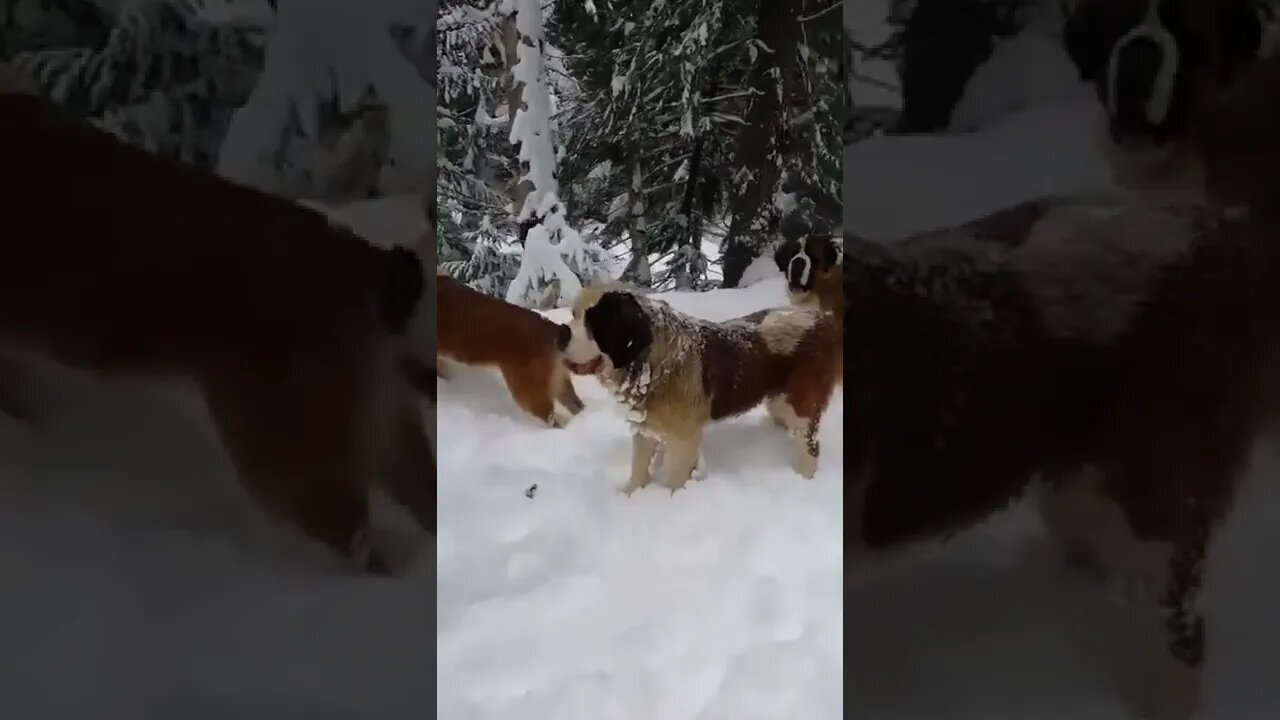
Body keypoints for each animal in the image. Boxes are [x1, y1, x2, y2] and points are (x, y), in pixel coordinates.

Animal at [558, 285, 839, 491]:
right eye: (574, 313)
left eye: (595, 322)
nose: (560, 332)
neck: (653, 361)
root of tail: (823, 319)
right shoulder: (645, 430)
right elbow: (638, 469)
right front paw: (631, 496)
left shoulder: (684, 439)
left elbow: (675, 478)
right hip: (778, 400)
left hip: (801, 404)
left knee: (809, 448)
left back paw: (804, 479)